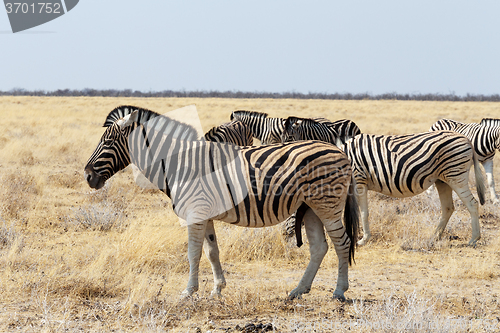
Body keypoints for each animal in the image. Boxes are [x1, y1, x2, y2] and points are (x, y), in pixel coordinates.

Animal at [85, 107, 360, 300]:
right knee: (320, 248)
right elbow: (211, 252)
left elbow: (193, 253)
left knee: (342, 243)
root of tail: (340, 151)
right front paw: (217, 289)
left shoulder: (195, 212)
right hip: (311, 207)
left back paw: (339, 291)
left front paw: (188, 291)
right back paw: (298, 290)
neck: (177, 164)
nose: (87, 176)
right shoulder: (204, 213)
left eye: (107, 143)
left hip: (327, 204)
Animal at [284, 116, 486, 244]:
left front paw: (363, 239)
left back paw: (473, 239)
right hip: (442, 180)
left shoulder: (358, 180)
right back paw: (434, 237)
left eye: (288, 138)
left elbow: (362, 212)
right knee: (448, 208)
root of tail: (466, 139)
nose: (286, 239)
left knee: (472, 203)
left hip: (456, 175)